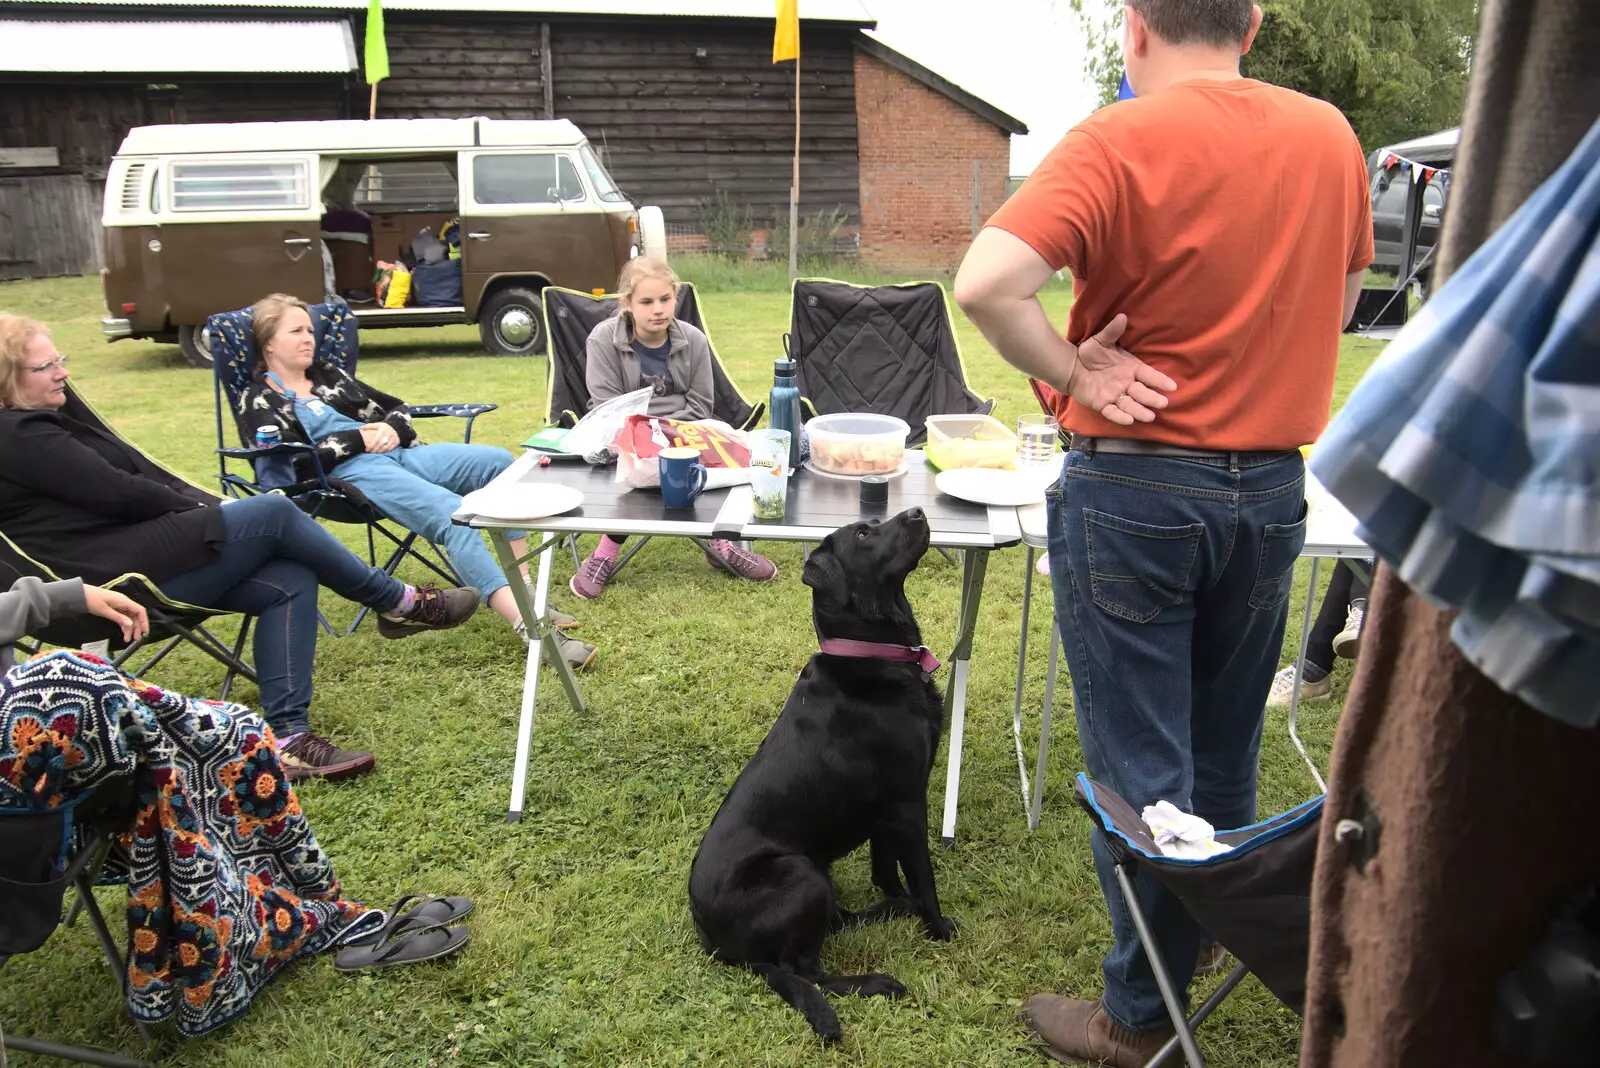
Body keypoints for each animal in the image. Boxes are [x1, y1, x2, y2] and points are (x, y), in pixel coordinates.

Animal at [688, 508, 947, 1042]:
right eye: (865, 534)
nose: (917, 512)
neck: (870, 656)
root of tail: (714, 942)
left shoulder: (885, 813)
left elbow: (886, 870)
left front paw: (901, 901)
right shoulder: (908, 802)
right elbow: (923, 878)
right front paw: (941, 931)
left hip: (817, 874)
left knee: (833, 926)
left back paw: (888, 913)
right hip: (800, 873)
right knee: (805, 970)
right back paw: (877, 981)